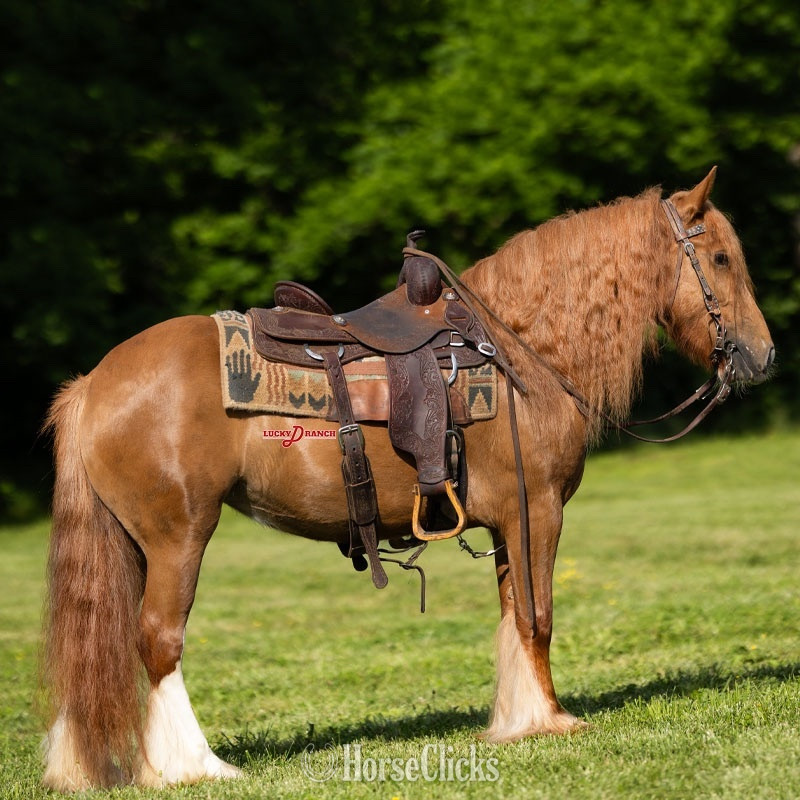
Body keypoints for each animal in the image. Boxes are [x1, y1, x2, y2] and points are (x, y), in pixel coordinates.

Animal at [40, 168, 774, 790]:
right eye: (720, 259)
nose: (763, 355)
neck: (519, 350)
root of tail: (94, 383)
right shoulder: (539, 509)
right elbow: (538, 618)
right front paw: (551, 720)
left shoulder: (508, 521)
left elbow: (512, 613)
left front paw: (516, 722)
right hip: (179, 536)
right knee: (160, 639)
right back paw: (192, 766)